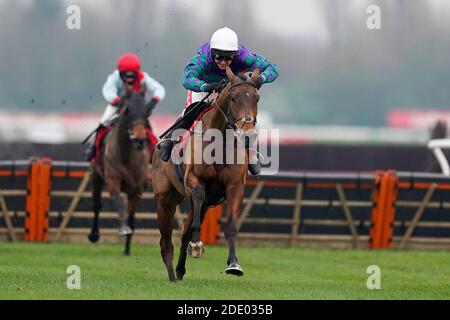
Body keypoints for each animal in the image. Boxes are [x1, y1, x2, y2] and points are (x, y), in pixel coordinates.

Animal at [87, 84, 154, 256]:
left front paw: (127, 248)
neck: (126, 156)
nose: (139, 139)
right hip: (97, 177)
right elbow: (119, 203)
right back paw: (94, 235)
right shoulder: (113, 180)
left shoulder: (138, 187)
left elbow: (132, 216)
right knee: (96, 205)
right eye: (127, 110)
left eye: (146, 111)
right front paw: (123, 229)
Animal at [152, 67, 260, 280]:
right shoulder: (195, 181)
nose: (248, 134)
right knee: (166, 241)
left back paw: (180, 270)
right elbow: (197, 198)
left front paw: (234, 264)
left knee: (184, 233)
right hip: (164, 200)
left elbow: (231, 226)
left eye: (256, 98)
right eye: (233, 98)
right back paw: (172, 274)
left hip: (204, 205)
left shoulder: (235, 188)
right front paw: (196, 245)